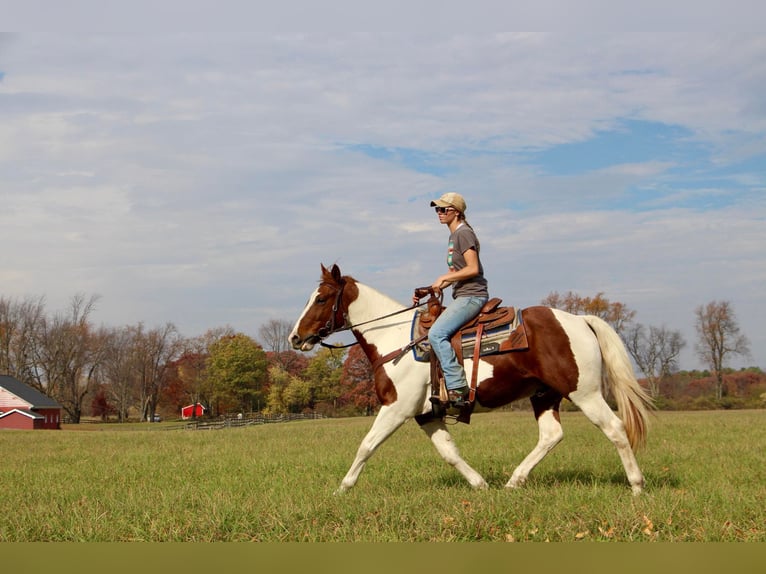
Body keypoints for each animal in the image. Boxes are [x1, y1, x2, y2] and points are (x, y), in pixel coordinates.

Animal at [288, 264, 656, 496]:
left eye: (321, 298)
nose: (295, 338)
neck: (394, 338)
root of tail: (579, 320)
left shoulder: (396, 409)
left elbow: (366, 445)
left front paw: (342, 489)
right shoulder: (426, 415)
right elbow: (449, 452)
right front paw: (480, 484)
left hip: (586, 393)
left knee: (615, 429)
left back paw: (637, 485)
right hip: (545, 395)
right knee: (552, 435)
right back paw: (514, 481)